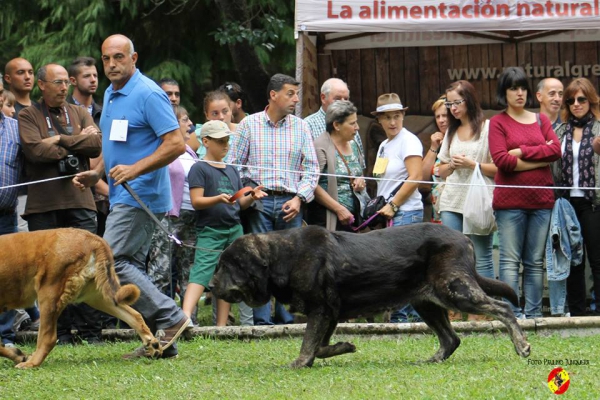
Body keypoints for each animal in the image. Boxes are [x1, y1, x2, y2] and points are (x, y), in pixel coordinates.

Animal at [0, 228, 162, 368]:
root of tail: (93, 238)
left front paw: (19, 357)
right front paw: (17, 355)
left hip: (48, 294)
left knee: (48, 338)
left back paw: (31, 363)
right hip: (98, 297)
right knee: (135, 315)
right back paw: (153, 344)